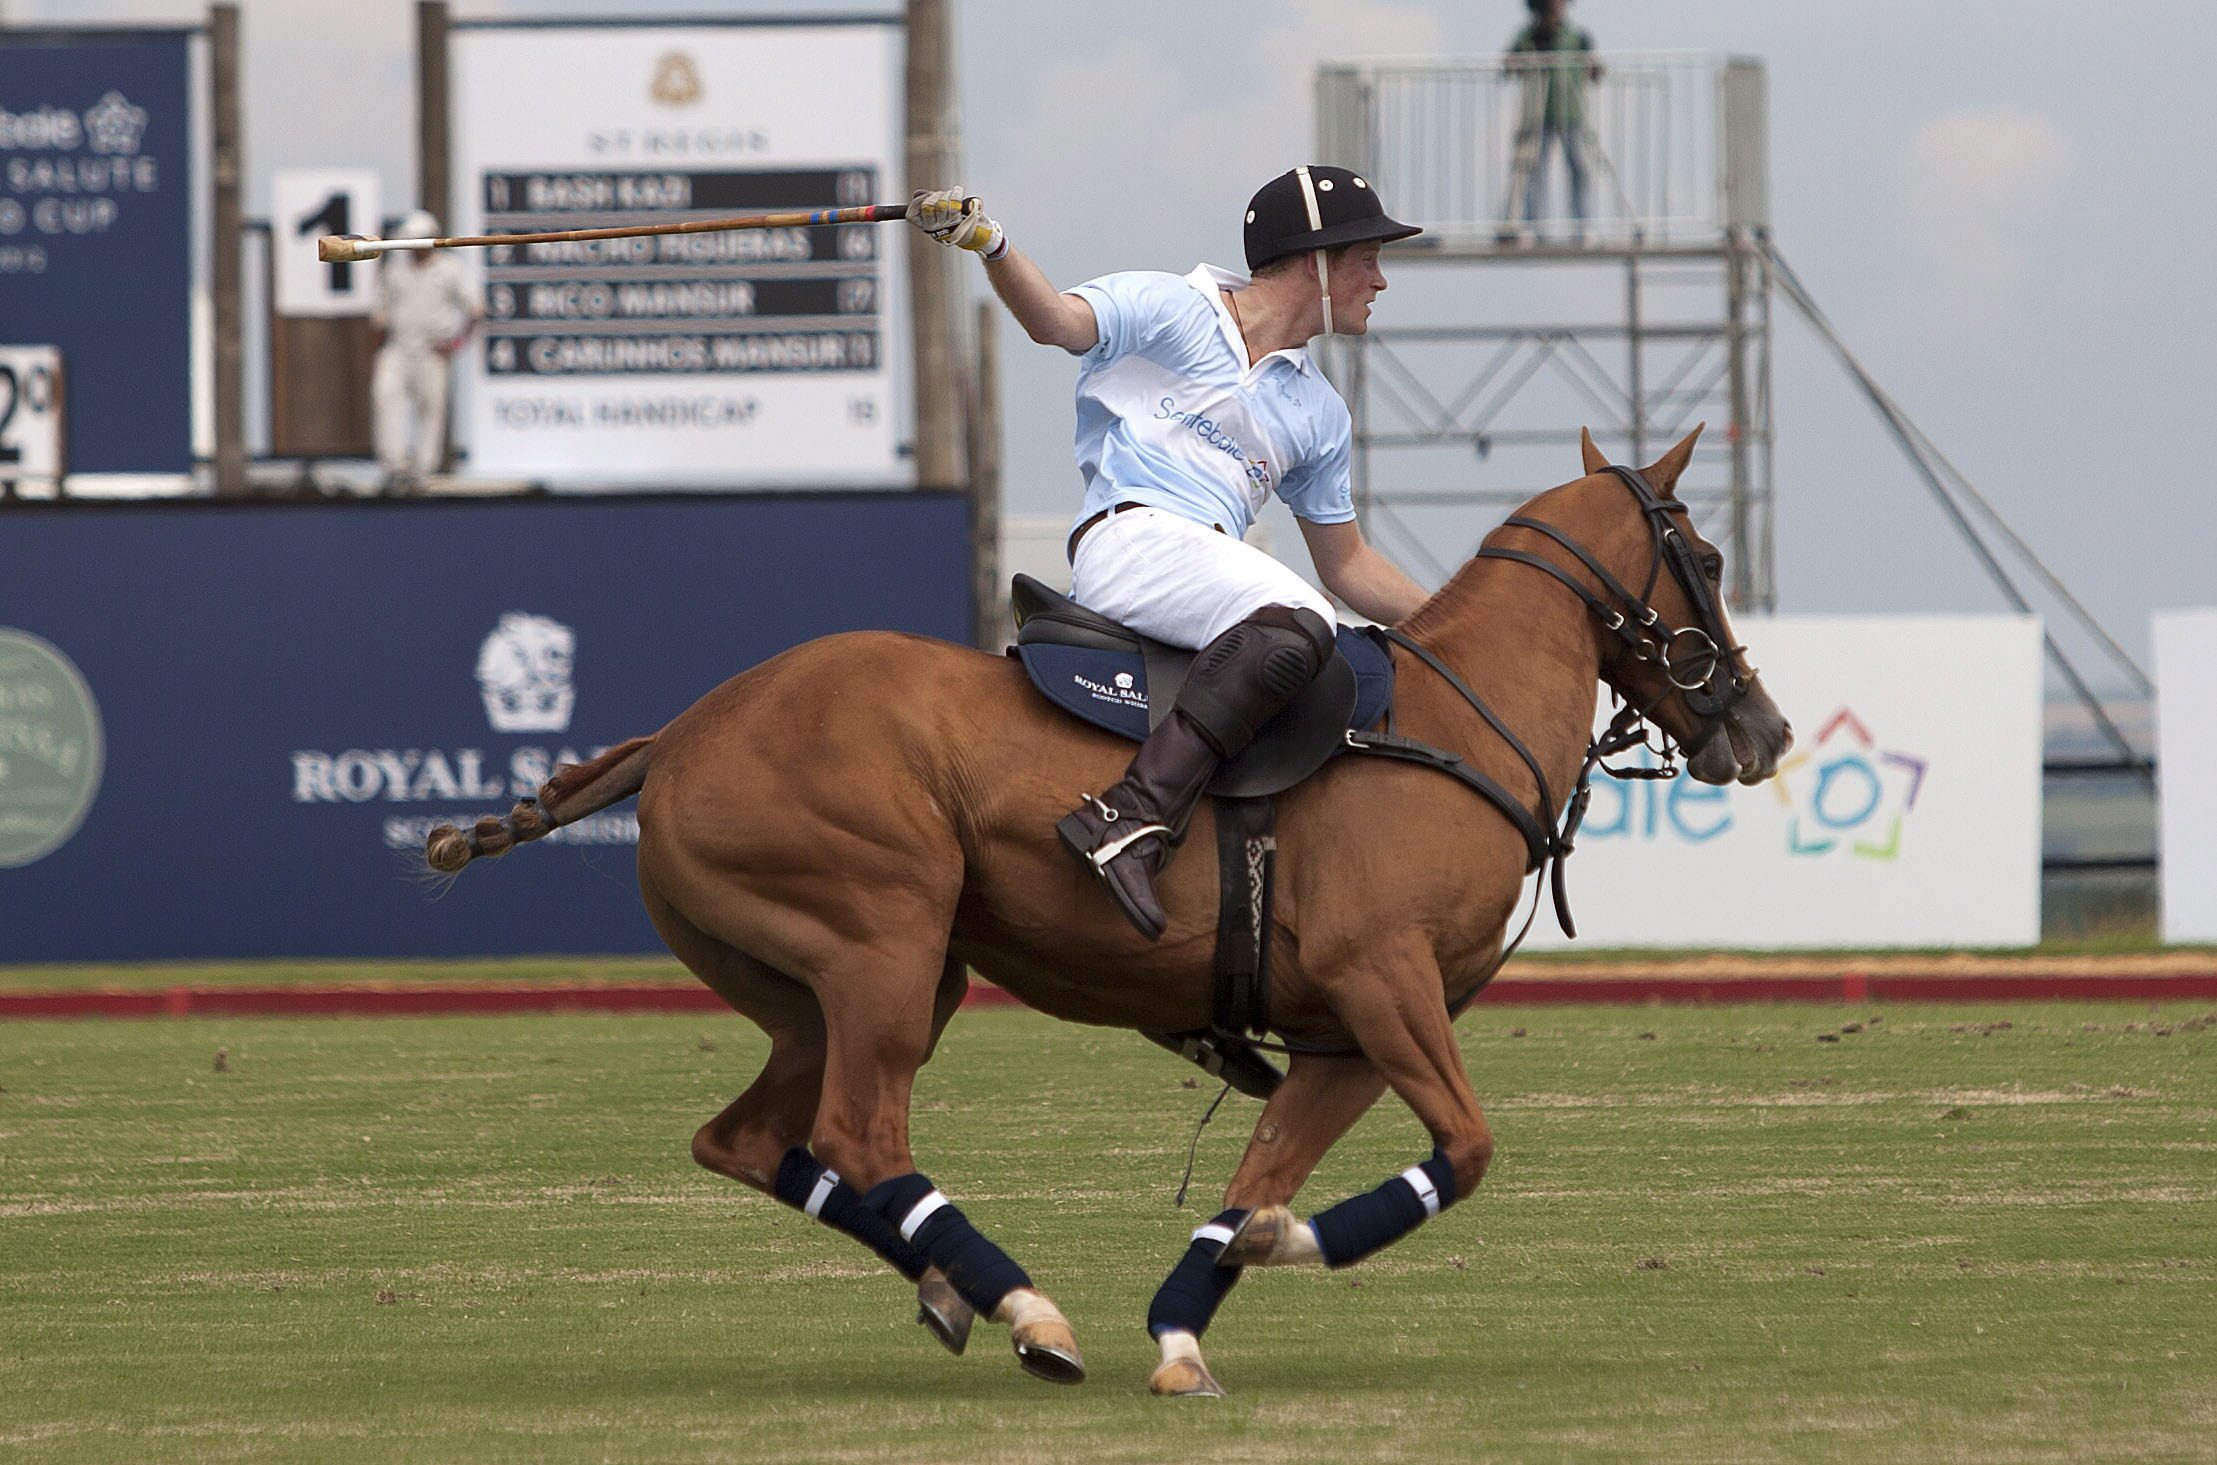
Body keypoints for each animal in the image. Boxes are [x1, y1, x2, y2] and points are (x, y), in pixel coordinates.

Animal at [423, 423, 1791, 1391]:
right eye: (1710, 560)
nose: (1765, 730)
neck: (1455, 725)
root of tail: (679, 733)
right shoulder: (1384, 981)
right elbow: (1462, 1151)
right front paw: (1272, 1250)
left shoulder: (1343, 1035)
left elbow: (1257, 1175)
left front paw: (1190, 1327)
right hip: (880, 943)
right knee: (861, 1134)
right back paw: (1020, 1305)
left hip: (842, 981)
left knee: (751, 1138)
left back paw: (951, 1288)